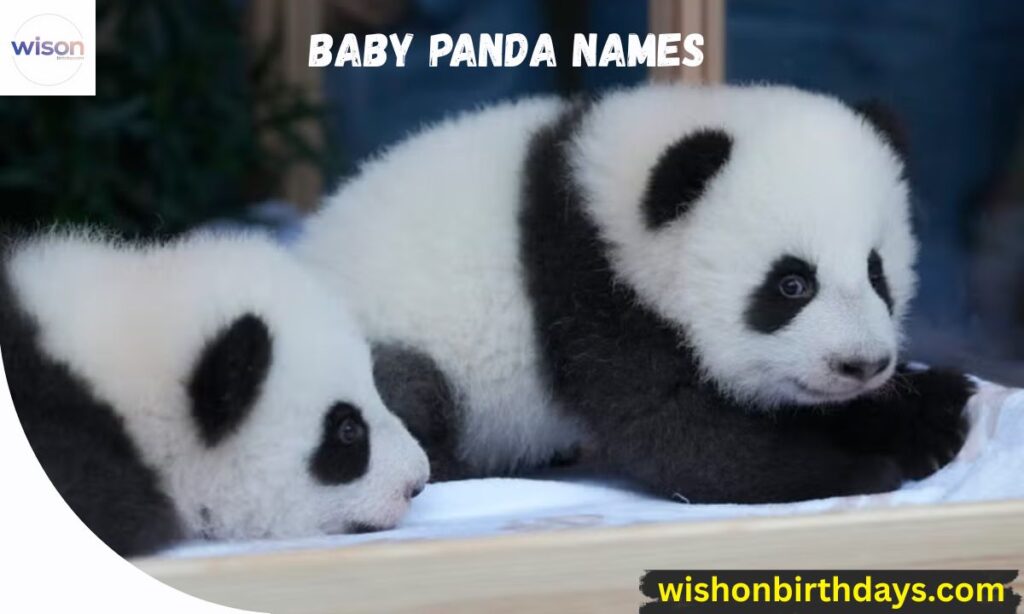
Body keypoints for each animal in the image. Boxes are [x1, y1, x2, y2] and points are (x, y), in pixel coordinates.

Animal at [299, 84, 974, 503]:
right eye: (791, 284)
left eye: (878, 274)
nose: (862, 364)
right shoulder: (590, 294)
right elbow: (681, 435)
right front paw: (859, 469)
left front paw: (931, 411)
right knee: (410, 394)